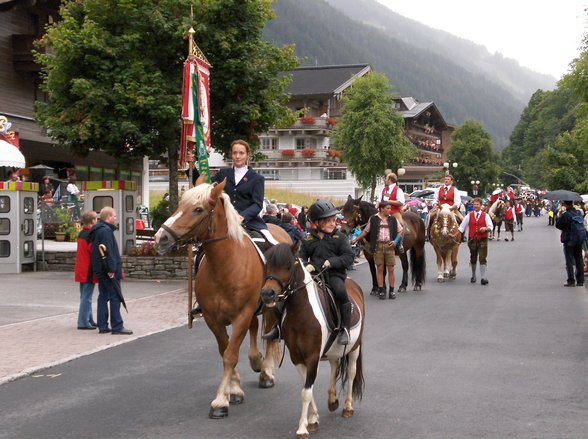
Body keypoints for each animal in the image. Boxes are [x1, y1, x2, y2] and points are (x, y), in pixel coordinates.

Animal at [154, 181, 292, 420]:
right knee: (255, 329)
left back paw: (266, 372)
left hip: (269, 306)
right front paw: (234, 390)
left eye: (198, 209)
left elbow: (231, 354)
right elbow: (225, 351)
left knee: (270, 335)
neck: (226, 265)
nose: (161, 237)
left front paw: (220, 401)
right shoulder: (213, 318)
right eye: (179, 204)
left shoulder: (242, 315)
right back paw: (255, 360)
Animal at [260, 242, 366, 438]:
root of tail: (351, 282)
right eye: (268, 264)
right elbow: (306, 387)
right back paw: (332, 400)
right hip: (332, 350)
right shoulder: (297, 357)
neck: (301, 314)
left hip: (355, 347)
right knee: (334, 365)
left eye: (288, 266)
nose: (267, 294)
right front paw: (313, 418)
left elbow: (306, 392)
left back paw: (347, 407)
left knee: (351, 372)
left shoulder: (312, 356)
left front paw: (302, 428)